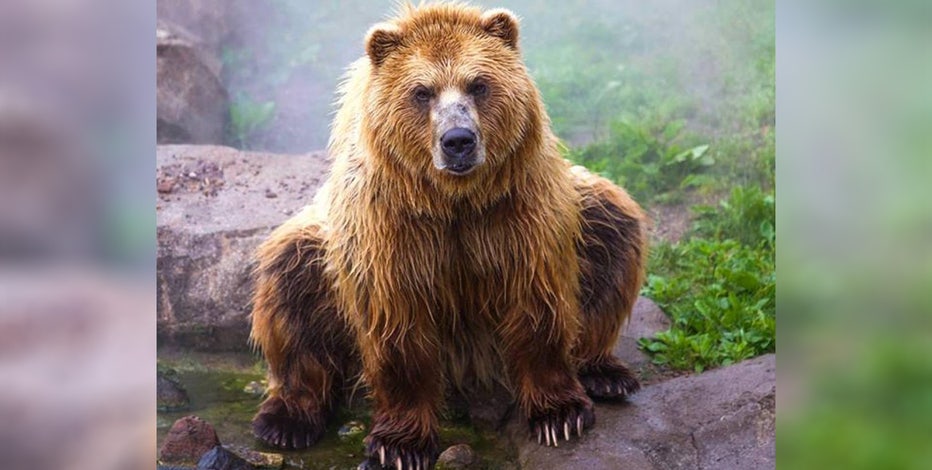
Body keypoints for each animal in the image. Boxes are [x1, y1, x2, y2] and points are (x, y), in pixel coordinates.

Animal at [248, 3, 647, 469]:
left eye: (478, 84)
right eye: (422, 91)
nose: (458, 140)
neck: (452, 200)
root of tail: (469, 371)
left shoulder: (518, 211)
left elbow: (538, 302)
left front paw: (559, 415)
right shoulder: (390, 229)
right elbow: (397, 328)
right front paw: (401, 445)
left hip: (581, 209)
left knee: (613, 224)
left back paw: (604, 373)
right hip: (320, 245)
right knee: (289, 282)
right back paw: (287, 420)